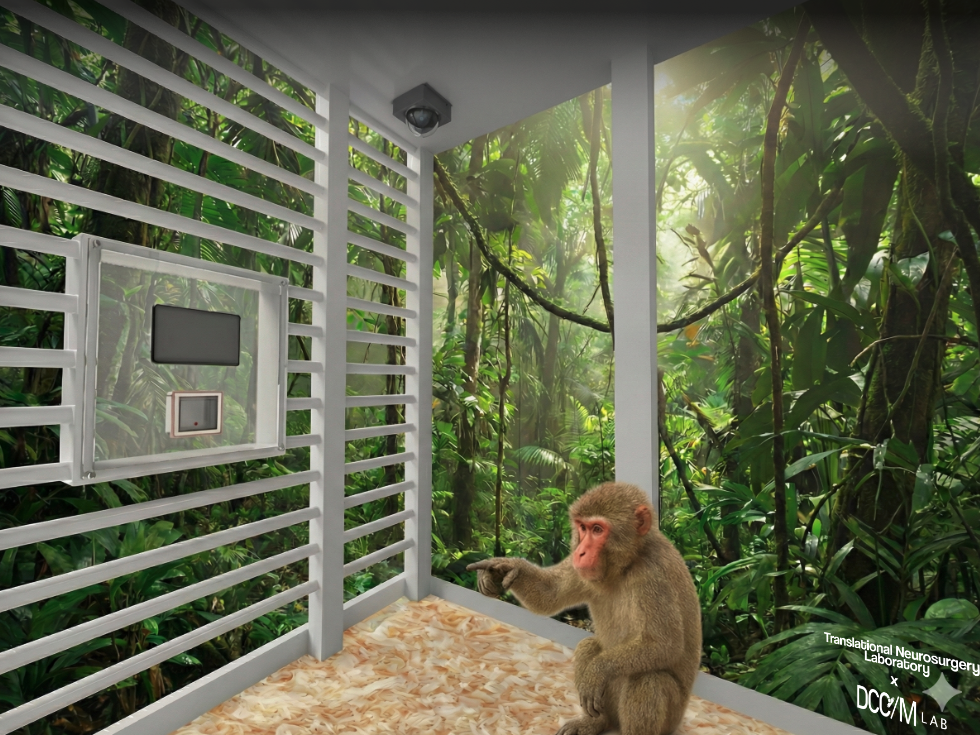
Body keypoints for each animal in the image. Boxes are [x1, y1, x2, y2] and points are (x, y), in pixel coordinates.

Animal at [467, 482, 701, 735]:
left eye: (598, 529)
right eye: (583, 528)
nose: (580, 552)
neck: (628, 564)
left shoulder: (653, 575)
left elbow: (665, 644)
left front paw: (598, 669)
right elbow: (549, 594)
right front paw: (504, 569)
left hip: (672, 717)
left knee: (648, 679)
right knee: (589, 646)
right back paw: (596, 723)